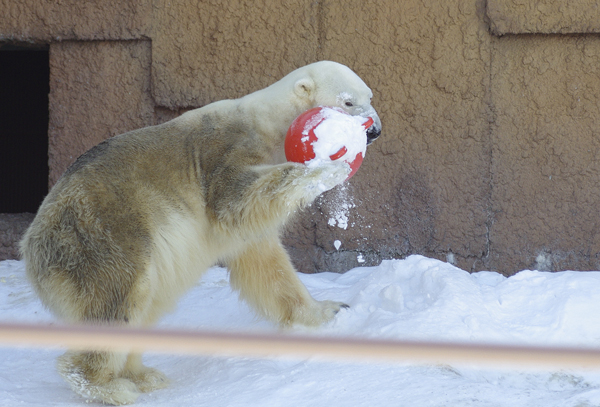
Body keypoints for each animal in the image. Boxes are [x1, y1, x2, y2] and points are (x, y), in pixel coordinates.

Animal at [21, 60, 382, 404]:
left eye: (370, 97)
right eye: (348, 102)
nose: (375, 130)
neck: (270, 120)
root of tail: (31, 249)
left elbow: (264, 259)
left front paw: (330, 310)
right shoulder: (229, 150)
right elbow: (233, 199)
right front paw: (330, 167)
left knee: (148, 302)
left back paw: (144, 375)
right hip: (103, 234)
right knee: (120, 295)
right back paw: (107, 386)